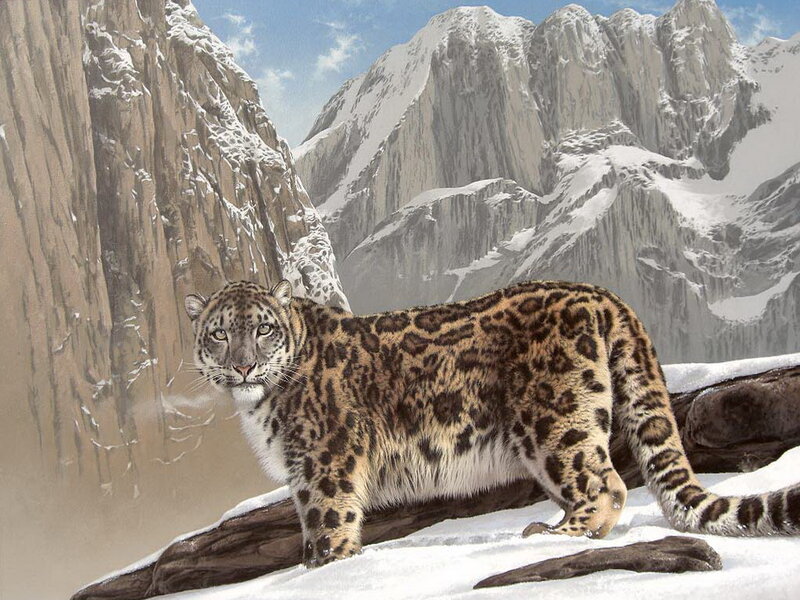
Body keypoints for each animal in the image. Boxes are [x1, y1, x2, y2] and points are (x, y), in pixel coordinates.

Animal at [185, 279, 800, 567]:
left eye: (262, 329)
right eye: (219, 333)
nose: (242, 364)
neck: (260, 409)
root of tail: (600, 294)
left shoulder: (324, 463)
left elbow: (329, 522)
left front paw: (327, 566)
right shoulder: (303, 472)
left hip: (555, 423)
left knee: (607, 483)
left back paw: (553, 535)